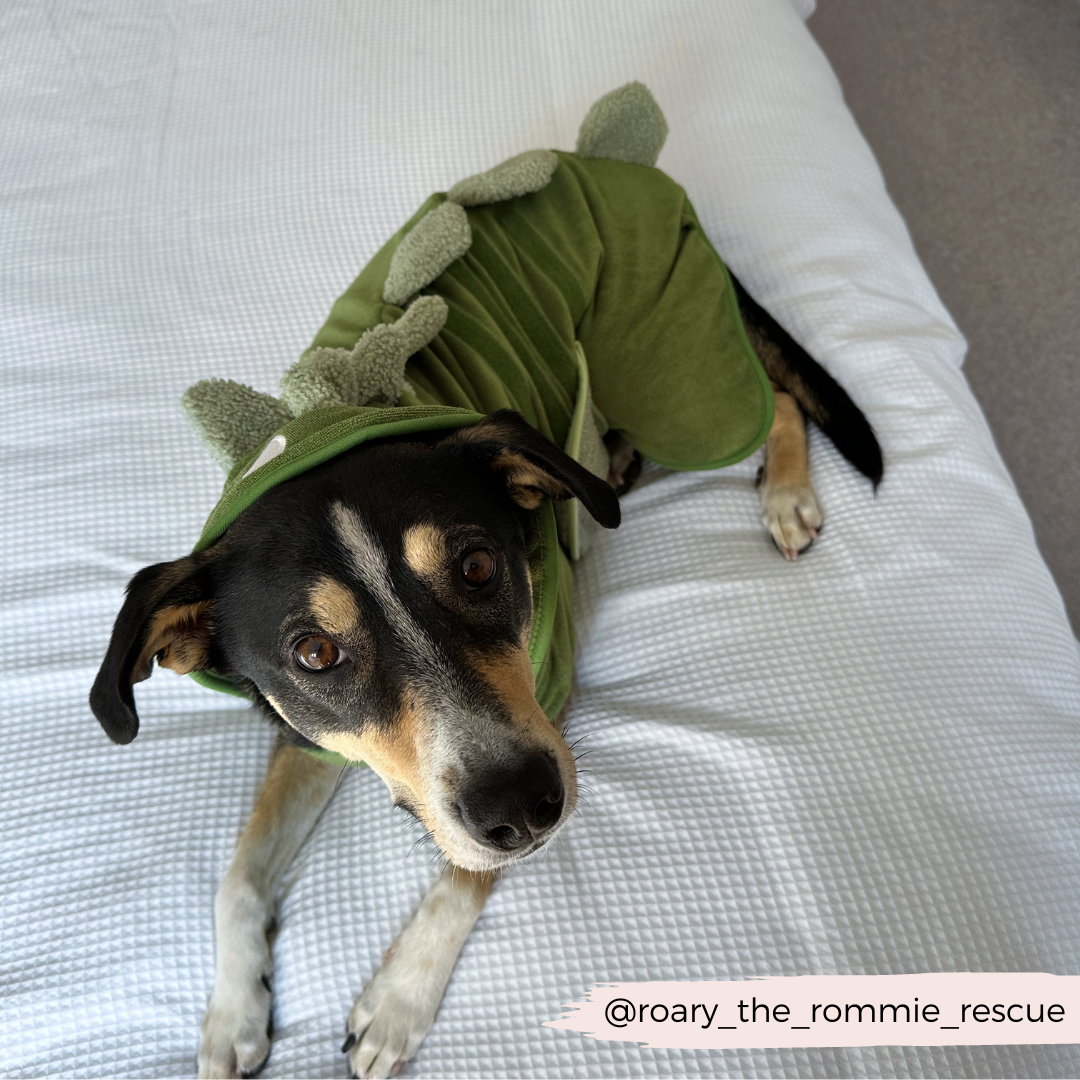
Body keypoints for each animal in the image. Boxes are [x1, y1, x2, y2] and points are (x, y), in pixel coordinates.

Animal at [86, 84, 876, 1080]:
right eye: (313, 654)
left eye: (477, 566)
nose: (523, 807)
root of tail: (609, 159)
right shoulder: (308, 739)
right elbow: (237, 873)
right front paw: (232, 1012)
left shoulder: (546, 697)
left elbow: (469, 868)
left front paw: (398, 1002)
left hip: (664, 362)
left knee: (767, 397)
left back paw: (784, 492)